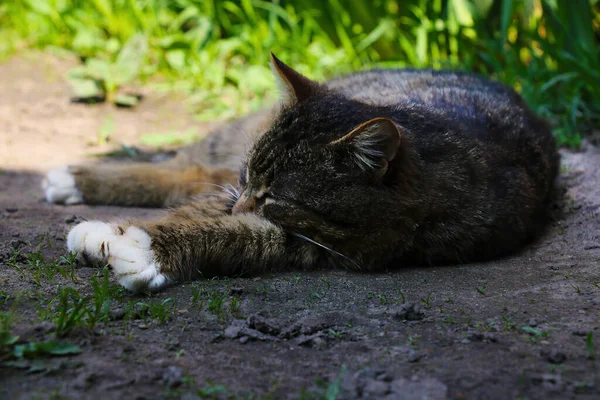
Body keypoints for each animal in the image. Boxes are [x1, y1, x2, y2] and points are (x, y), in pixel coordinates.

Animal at [44, 54, 560, 290]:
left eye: (275, 196)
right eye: (250, 176)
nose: (242, 200)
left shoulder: (331, 246)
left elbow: (238, 234)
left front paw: (144, 248)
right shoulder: (231, 186)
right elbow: (200, 205)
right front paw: (110, 232)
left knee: (191, 174)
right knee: (187, 167)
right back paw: (74, 178)